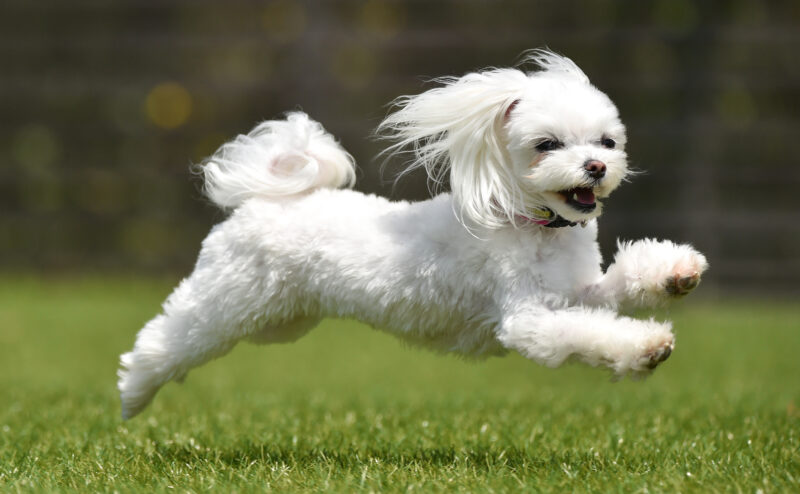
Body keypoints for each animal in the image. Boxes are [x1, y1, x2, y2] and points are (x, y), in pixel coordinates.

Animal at [117, 50, 708, 418]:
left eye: (607, 142)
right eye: (546, 145)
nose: (595, 167)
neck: (533, 226)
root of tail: (266, 201)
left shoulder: (578, 290)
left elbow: (617, 287)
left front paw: (676, 274)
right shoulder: (528, 317)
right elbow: (584, 334)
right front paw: (648, 346)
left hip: (281, 319)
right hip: (230, 299)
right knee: (168, 339)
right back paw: (133, 391)